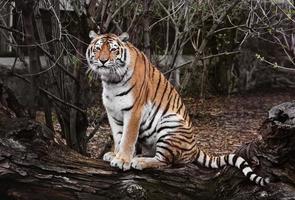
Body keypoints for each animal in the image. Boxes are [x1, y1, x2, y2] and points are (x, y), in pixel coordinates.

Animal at [85, 30, 270, 186]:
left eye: (113, 50)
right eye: (98, 48)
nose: (103, 60)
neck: (111, 81)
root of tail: (195, 148)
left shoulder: (134, 111)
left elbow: (128, 138)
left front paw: (122, 160)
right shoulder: (113, 113)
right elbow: (118, 137)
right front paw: (114, 154)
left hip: (169, 123)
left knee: (165, 161)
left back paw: (139, 161)